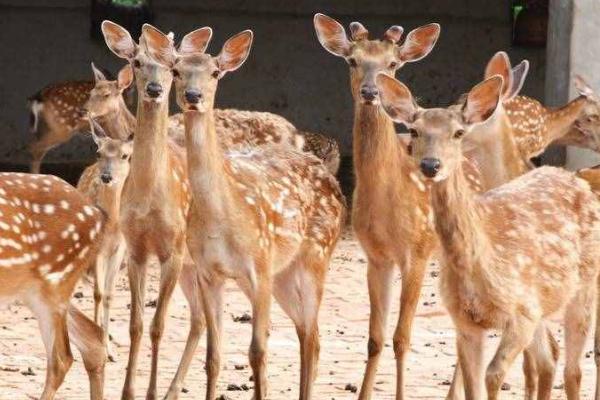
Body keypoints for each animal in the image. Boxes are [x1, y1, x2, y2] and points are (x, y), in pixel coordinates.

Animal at [141, 25, 344, 400]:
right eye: (176, 70)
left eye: (215, 72)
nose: (193, 95)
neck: (223, 216)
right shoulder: (209, 272)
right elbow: (214, 356)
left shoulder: (259, 267)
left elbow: (257, 352)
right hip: (284, 274)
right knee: (309, 334)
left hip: (315, 257)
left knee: (311, 337)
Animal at [378, 72, 600, 400]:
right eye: (415, 130)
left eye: (458, 132)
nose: (431, 165)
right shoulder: (466, 322)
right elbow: (475, 383)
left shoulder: (523, 311)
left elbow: (493, 376)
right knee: (549, 359)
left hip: (582, 290)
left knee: (573, 370)